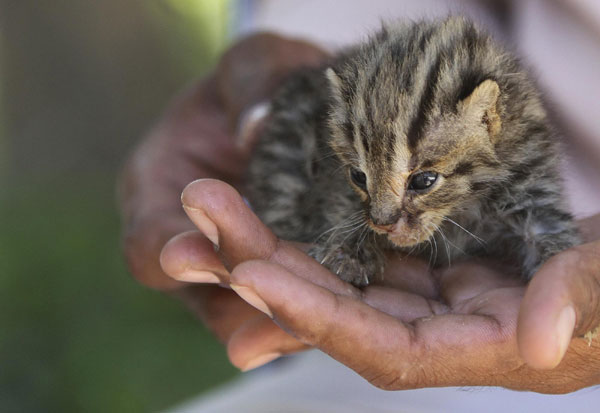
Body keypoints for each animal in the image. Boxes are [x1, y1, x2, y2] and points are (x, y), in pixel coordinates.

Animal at [246, 16, 580, 286]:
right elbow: (338, 204)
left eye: (423, 181)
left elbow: (548, 230)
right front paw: (348, 249)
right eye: (358, 177)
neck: (462, 207)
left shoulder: (531, 177)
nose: (382, 224)